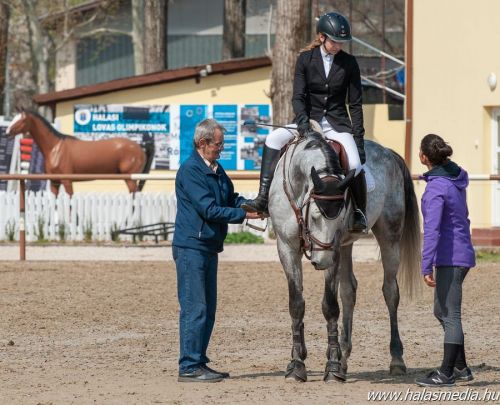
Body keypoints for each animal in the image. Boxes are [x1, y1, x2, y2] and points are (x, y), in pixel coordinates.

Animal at [6, 110, 153, 195]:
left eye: (21, 120)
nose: (7, 132)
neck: (55, 147)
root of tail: (140, 147)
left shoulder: (67, 181)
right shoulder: (54, 182)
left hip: (130, 179)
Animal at [269, 127, 421, 383]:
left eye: (340, 217)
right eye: (315, 216)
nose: (320, 261)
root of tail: (387, 151)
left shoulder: (334, 248)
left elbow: (330, 306)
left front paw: (331, 366)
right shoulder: (286, 246)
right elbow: (296, 304)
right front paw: (297, 363)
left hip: (388, 236)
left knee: (390, 292)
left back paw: (396, 359)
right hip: (347, 246)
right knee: (349, 290)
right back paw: (344, 357)